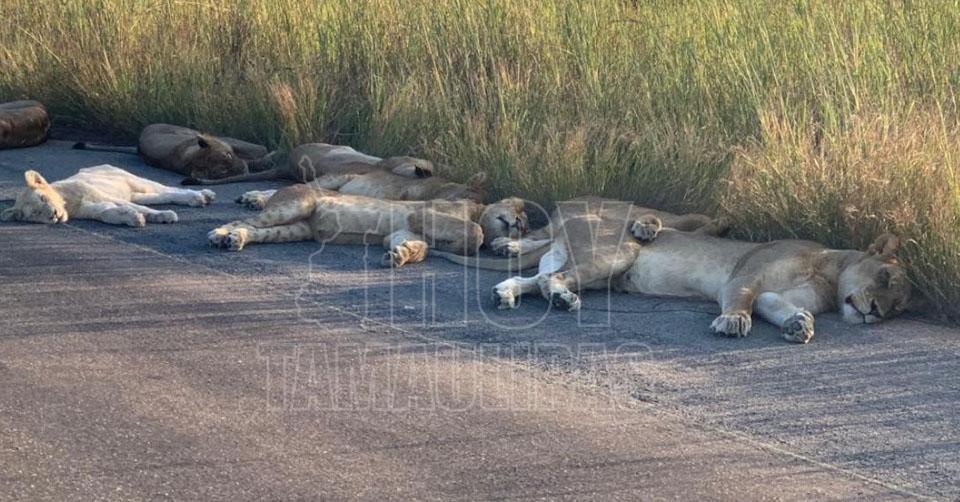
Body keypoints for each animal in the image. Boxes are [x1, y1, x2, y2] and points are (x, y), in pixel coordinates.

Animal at [1, 166, 216, 226]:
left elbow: (142, 209)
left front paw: (164, 216)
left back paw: (202, 196)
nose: (53, 215)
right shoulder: (93, 209)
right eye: (36, 214)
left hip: (134, 180)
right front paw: (133, 219)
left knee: (168, 189)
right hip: (136, 193)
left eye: (43, 199)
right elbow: (108, 213)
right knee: (161, 196)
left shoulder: (100, 194)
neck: (68, 203)